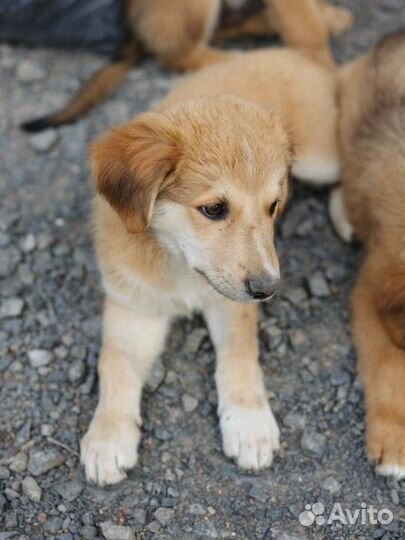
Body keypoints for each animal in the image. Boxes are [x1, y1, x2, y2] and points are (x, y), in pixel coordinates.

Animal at [80, 47, 340, 486]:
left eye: (273, 206)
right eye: (214, 209)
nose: (268, 289)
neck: (179, 265)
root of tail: (291, 51)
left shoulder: (232, 302)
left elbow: (239, 354)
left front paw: (249, 423)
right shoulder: (133, 305)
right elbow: (113, 362)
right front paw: (107, 436)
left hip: (320, 157)